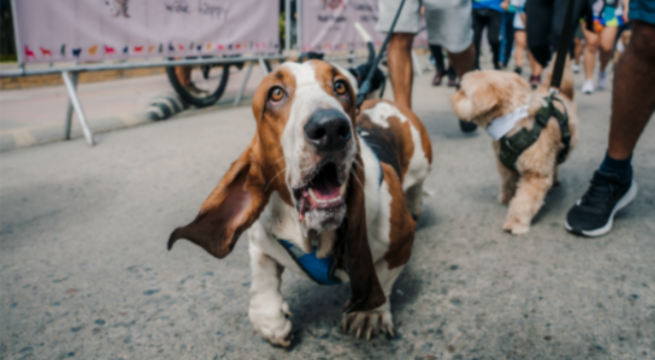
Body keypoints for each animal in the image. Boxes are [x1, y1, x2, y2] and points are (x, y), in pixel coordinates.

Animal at [452, 60, 580, 235]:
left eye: (464, 92)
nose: (452, 97)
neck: (513, 124)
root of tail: (561, 94)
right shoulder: (505, 166)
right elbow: (508, 182)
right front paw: (507, 198)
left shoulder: (535, 175)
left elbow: (524, 202)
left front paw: (515, 222)